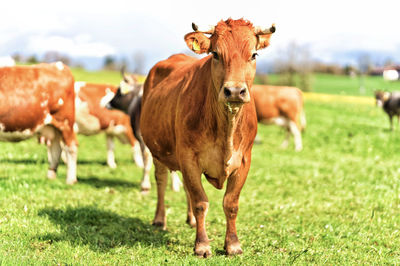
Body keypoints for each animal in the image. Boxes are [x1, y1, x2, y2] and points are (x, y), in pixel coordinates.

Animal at [140, 18, 276, 256]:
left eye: (253, 54)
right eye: (215, 53)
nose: (234, 91)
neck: (226, 128)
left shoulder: (244, 161)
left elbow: (231, 203)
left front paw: (233, 244)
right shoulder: (188, 157)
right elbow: (201, 202)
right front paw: (202, 245)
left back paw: (192, 221)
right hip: (158, 152)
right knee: (162, 181)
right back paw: (159, 219)